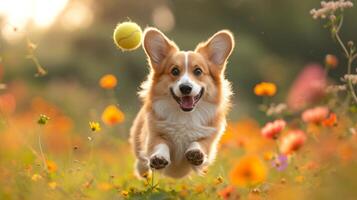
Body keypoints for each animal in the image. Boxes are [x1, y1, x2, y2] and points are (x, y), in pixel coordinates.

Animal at [129, 27, 235, 178]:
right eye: (174, 71)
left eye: (198, 71)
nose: (185, 88)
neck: (185, 115)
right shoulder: (154, 133)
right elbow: (159, 144)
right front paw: (159, 157)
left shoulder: (209, 137)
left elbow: (200, 143)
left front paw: (196, 152)